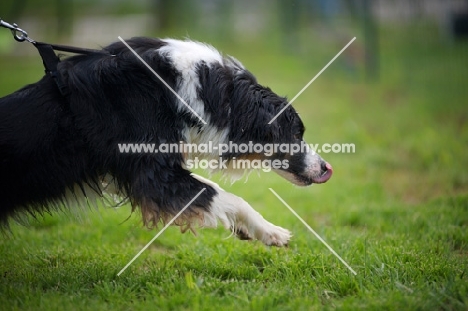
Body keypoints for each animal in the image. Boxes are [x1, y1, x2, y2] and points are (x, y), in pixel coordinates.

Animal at [0, 37, 332, 246]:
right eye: (296, 134)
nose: (326, 168)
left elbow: (211, 188)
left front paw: (262, 231)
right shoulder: (151, 173)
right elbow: (220, 194)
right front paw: (271, 231)